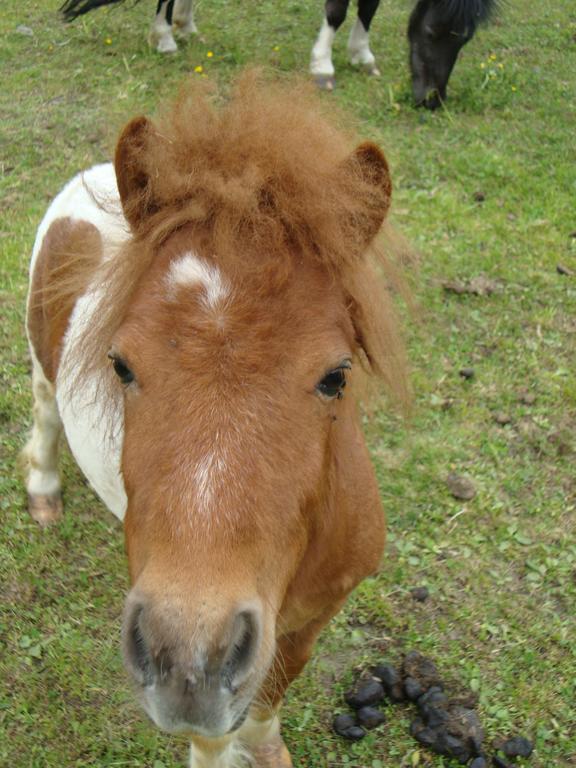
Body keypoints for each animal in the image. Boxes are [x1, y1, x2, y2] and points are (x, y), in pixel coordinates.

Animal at [22, 73, 408, 768]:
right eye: (120, 364)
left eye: (336, 376)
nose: (188, 660)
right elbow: (214, 734)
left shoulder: (310, 621)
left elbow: (268, 698)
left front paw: (268, 749)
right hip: (39, 359)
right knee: (43, 415)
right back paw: (43, 492)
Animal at [312, 0, 498, 108]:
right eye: (430, 32)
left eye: (465, 40)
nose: (432, 100)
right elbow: (337, 12)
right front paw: (322, 67)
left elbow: (369, 7)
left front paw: (362, 56)